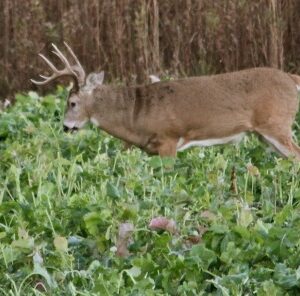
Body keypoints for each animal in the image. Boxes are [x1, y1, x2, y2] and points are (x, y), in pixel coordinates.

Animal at [31, 42, 300, 160]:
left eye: (72, 103)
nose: (66, 127)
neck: (135, 114)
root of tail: (291, 78)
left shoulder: (168, 140)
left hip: (277, 124)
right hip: (264, 133)